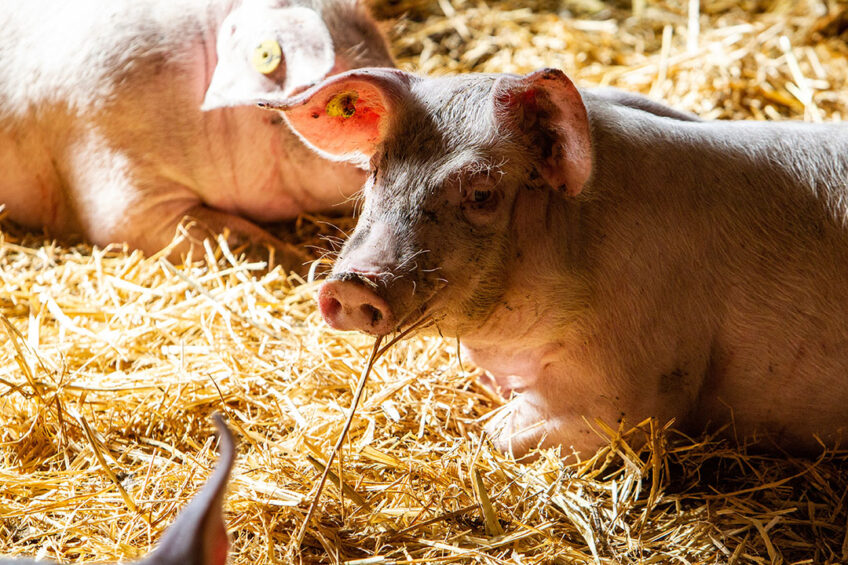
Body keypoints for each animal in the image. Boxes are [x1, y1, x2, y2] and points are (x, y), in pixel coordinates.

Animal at [260, 67, 848, 458]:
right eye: (376, 170)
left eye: (481, 193)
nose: (352, 283)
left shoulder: (631, 386)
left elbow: (499, 435)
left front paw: (481, 431)